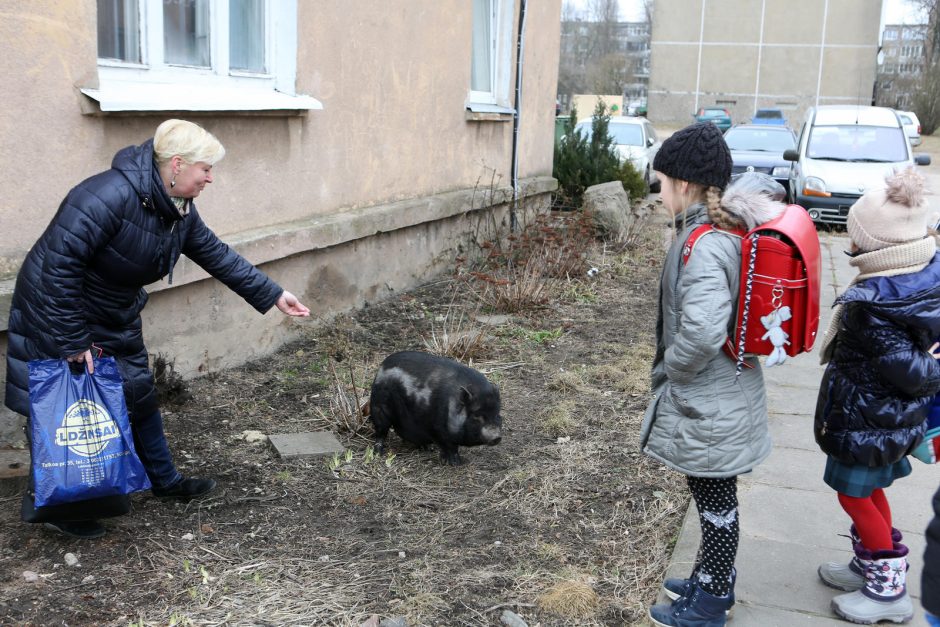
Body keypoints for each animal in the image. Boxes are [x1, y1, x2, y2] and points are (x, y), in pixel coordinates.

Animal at [368, 350, 504, 464]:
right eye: (477, 416)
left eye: (497, 414)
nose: (496, 436)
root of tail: (382, 366)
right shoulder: (437, 428)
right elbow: (449, 447)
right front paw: (456, 463)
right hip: (378, 406)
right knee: (381, 431)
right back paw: (378, 453)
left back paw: (428, 448)